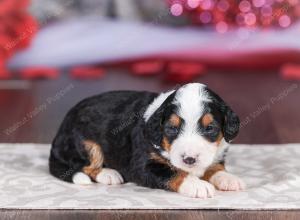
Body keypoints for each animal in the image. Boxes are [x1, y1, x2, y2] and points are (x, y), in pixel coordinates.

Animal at [49, 83, 246, 199]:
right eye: (171, 128)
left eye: (210, 128)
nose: (189, 159)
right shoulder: (142, 165)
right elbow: (172, 173)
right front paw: (197, 185)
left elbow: (214, 166)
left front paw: (228, 178)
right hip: (85, 143)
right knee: (87, 165)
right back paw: (109, 174)